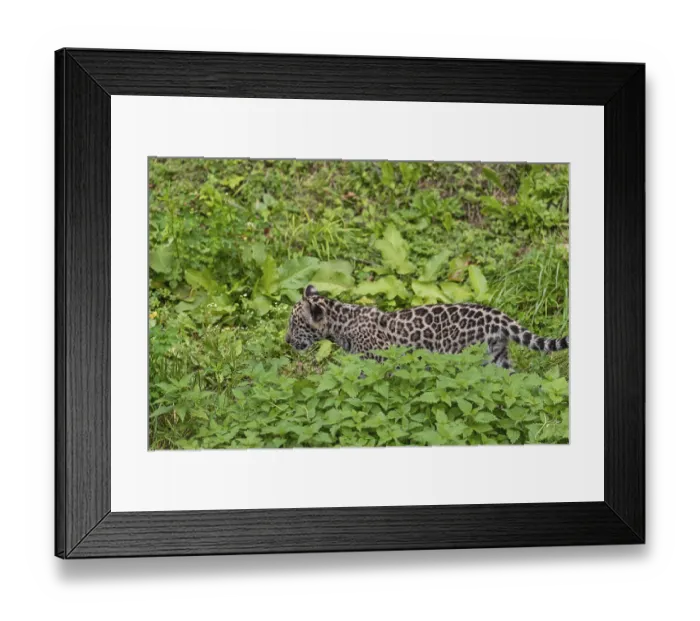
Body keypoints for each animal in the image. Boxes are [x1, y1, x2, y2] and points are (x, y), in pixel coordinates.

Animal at [285, 284, 568, 370]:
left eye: (294, 323)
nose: (286, 340)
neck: (343, 321)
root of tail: (497, 315)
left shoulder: (379, 362)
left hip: (463, 358)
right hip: (497, 359)